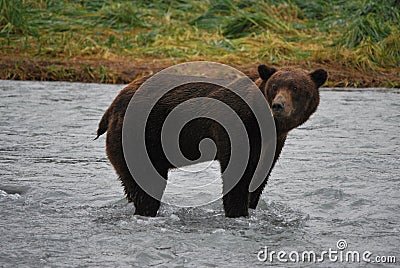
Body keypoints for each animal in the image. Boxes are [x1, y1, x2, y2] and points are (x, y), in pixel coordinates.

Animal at [95, 64, 326, 218]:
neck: (264, 122)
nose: (278, 105)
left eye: (296, 88)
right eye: (275, 86)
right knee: (147, 183)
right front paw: (238, 212)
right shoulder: (235, 128)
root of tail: (114, 104)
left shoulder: (273, 142)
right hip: (138, 136)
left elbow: (260, 175)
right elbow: (237, 174)